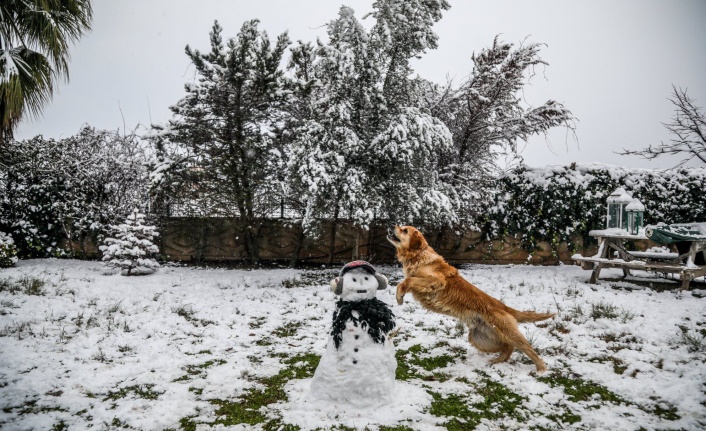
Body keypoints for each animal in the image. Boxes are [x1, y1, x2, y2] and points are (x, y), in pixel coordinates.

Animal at [388, 226, 552, 374]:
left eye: (404, 230)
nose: (392, 227)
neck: (418, 255)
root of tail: (503, 306)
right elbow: (403, 282)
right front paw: (399, 296)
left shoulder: (437, 281)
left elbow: (407, 280)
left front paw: (400, 296)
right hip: (479, 338)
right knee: (508, 347)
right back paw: (497, 361)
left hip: (507, 332)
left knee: (527, 348)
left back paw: (541, 369)